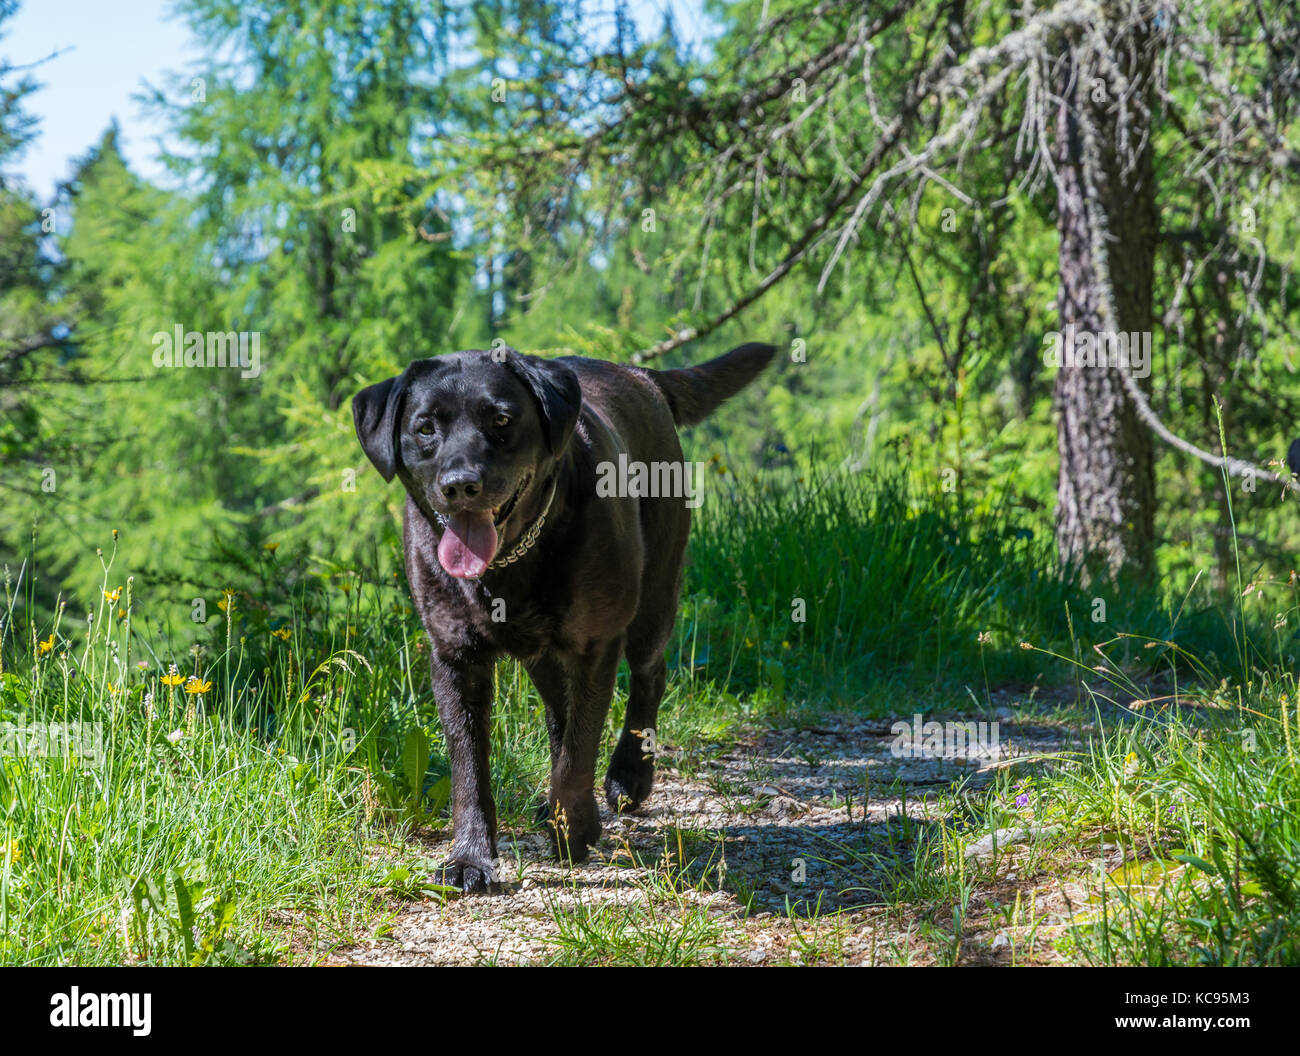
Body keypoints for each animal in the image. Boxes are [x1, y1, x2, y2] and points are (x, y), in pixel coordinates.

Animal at [351, 343, 769, 884]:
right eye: (425, 428)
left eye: (501, 419)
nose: (461, 485)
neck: (509, 563)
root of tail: (640, 374)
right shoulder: (454, 658)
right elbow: (469, 767)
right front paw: (470, 856)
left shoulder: (595, 646)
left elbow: (579, 750)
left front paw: (574, 829)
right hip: (543, 653)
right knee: (558, 711)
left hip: (653, 596)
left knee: (648, 675)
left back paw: (628, 774)